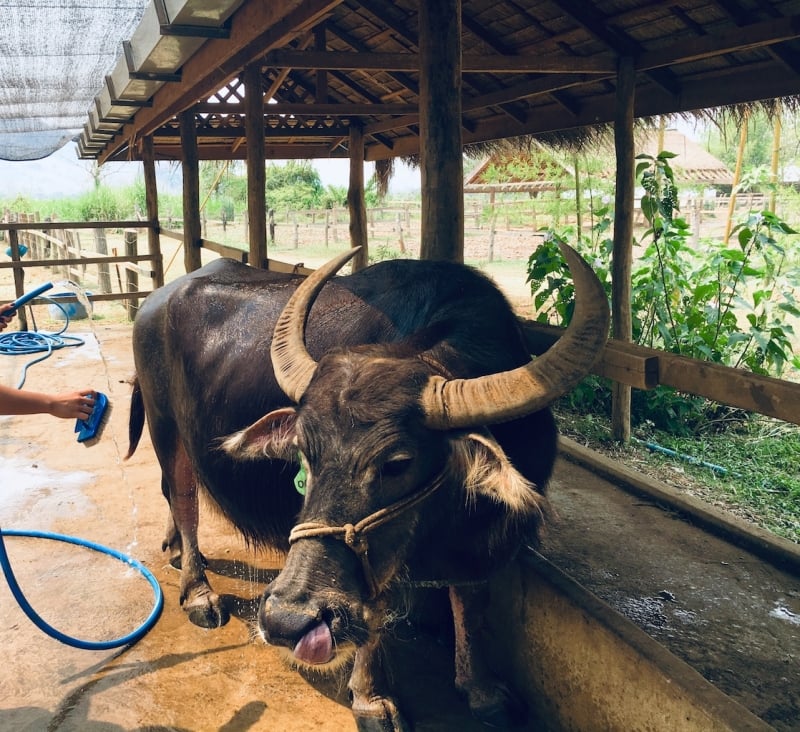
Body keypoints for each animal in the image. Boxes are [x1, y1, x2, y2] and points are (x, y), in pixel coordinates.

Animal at [128, 243, 608, 728]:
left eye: (398, 463)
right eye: (304, 452)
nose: (286, 621)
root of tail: (156, 302)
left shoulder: (477, 540)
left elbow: (471, 601)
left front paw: (482, 690)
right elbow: (378, 609)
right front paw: (372, 698)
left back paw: (177, 551)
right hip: (165, 426)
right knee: (183, 497)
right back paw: (198, 593)